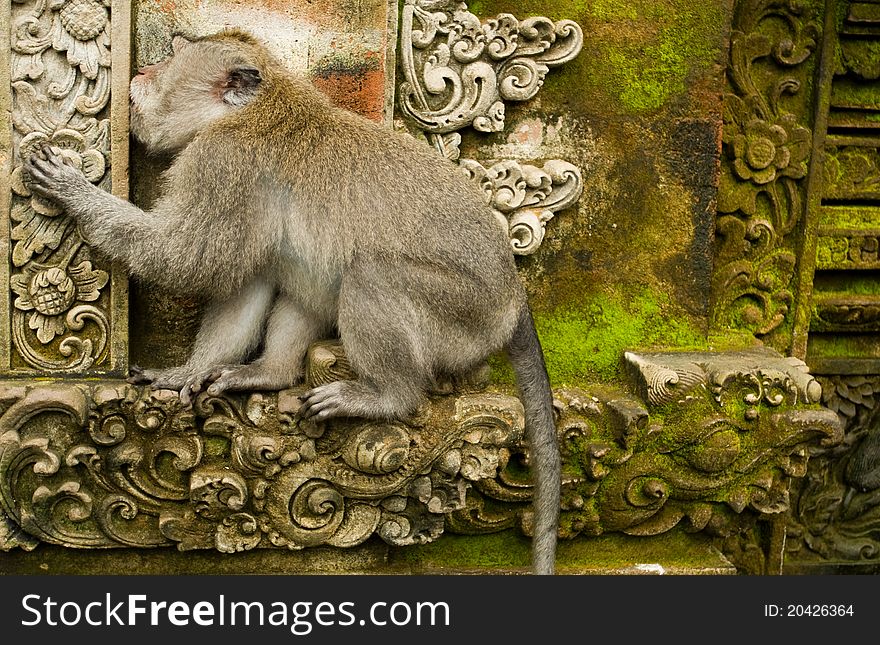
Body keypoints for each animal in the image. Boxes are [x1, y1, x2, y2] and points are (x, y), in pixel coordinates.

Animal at [25, 30, 564, 572]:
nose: (141, 72)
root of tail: (513, 299)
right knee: (303, 277)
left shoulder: (221, 163)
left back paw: (386, 395)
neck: (252, 108)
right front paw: (188, 372)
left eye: (170, 60)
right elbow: (243, 282)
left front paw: (75, 192)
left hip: (461, 319)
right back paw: (273, 372)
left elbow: (187, 258)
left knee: (372, 275)